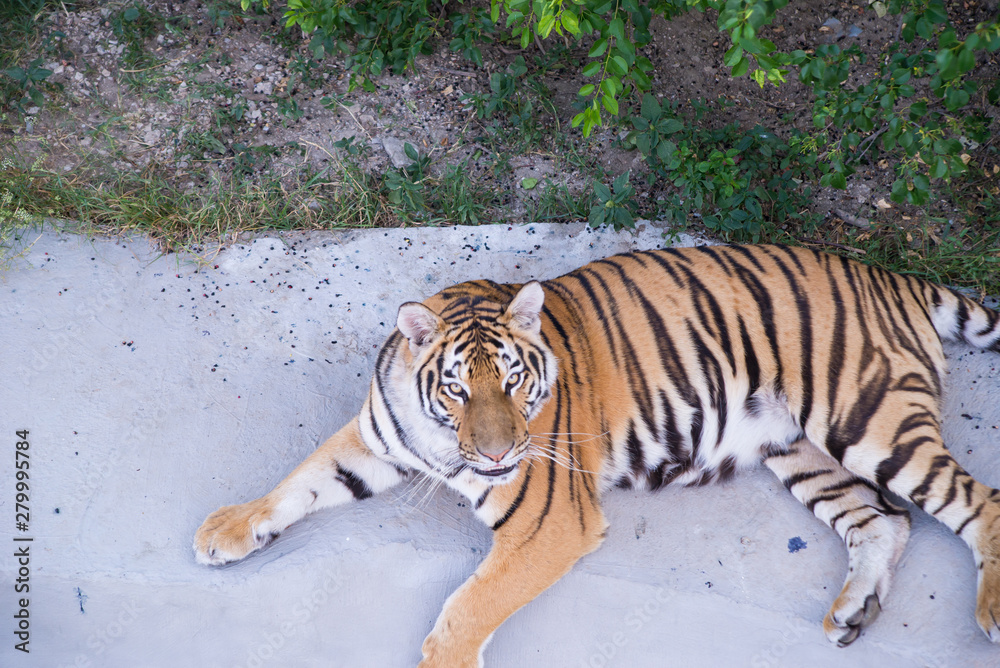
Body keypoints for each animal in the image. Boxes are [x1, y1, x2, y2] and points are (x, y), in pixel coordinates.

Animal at [194, 243, 1000, 666]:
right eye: (456, 388)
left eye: (513, 381)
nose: (499, 452)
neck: (440, 441)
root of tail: (891, 276)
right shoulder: (374, 439)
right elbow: (299, 479)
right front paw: (227, 529)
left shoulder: (547, 525)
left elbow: (468, 605)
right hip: (801, 450)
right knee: (884, 522)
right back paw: (853, 612)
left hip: (867, 423)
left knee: (976, 504)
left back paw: (989, 611)